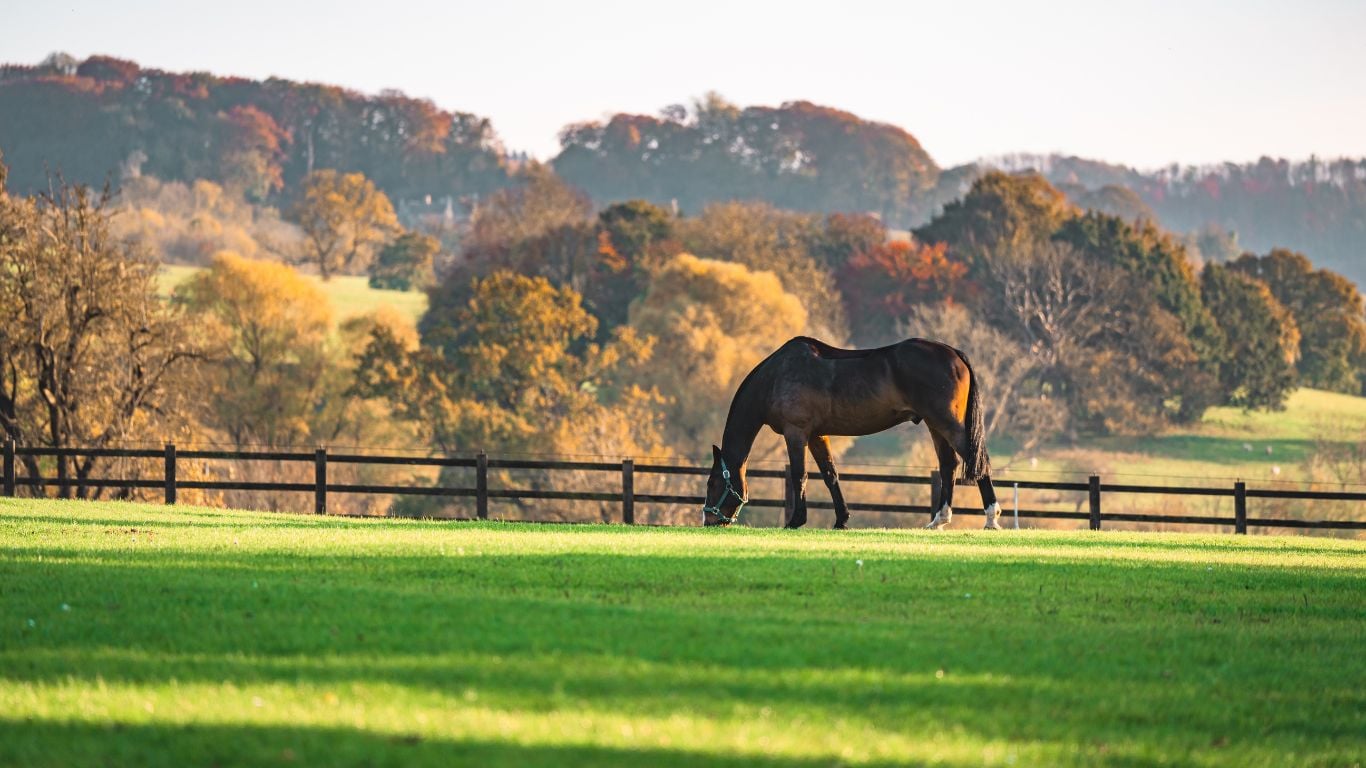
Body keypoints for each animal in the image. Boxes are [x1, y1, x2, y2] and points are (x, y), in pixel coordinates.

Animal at [701, 336, 1002, 530]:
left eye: (712, 483)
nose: (708, 520)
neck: (776, 376)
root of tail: (953, 353)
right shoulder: (817, 435)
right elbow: (830, 475)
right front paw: (841, 520)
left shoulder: (796, 432)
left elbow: (800, 475)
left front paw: (796, 521)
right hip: (934, 424)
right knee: (949, 465)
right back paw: (939, 519)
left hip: (946, 422)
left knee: (977, 461)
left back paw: (991, 518)